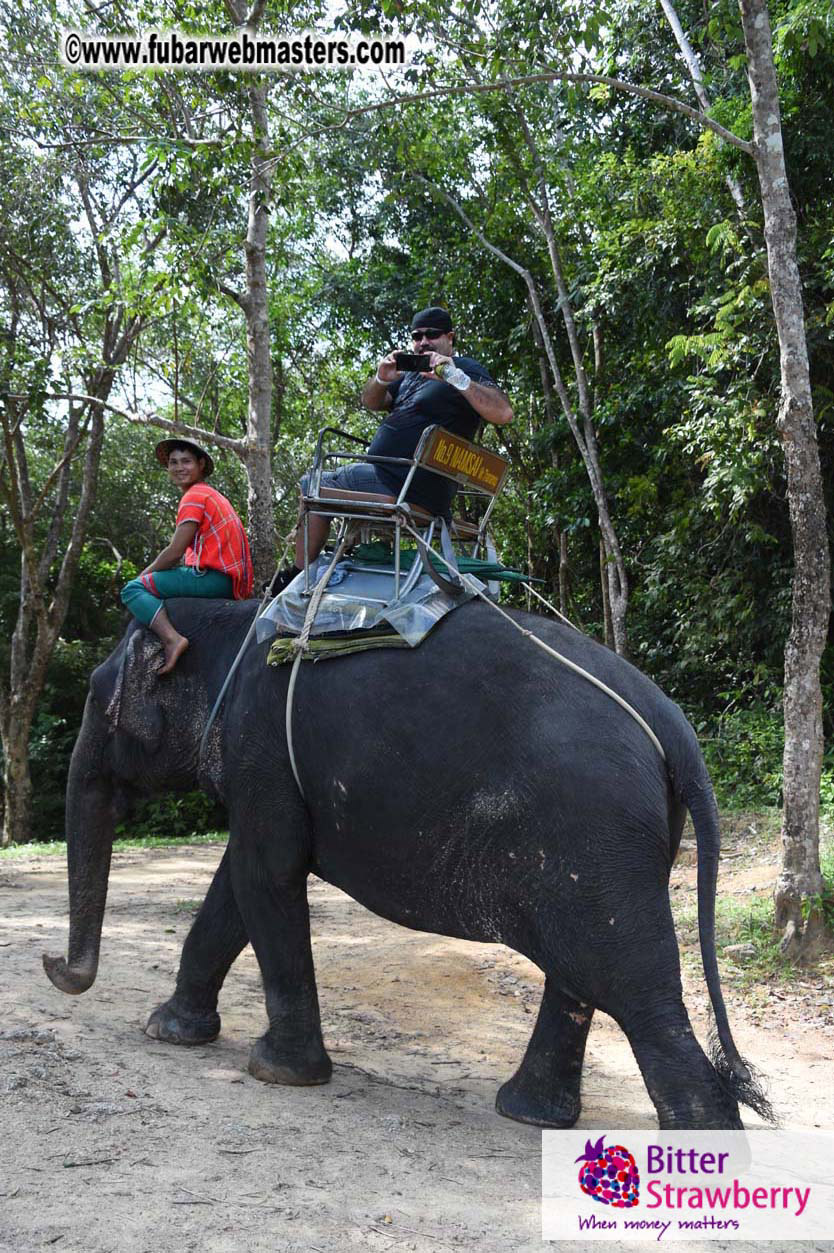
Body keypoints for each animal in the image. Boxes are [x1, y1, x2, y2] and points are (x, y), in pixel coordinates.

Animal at [43, 596, 770, 1130]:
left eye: (96, 696)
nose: (54, 965)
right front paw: (169, 1030)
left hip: (597, 832)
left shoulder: (262, 748)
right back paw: (530, 1115)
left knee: (633, 987)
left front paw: (276, 1072)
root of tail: (672, 725)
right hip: (604, 848)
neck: (229, 617)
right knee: (583, 974)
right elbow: (237, 880)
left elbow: (264, 875)